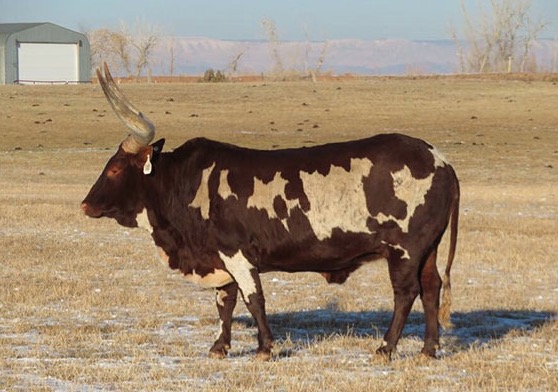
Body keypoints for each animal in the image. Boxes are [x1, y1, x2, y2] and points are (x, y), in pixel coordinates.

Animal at [82, 62, 460, 360]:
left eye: (115, 169)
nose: (85, 204)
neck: (188, 184)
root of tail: (440, 161)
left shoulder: (237, 254)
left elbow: (253, 300)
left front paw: (264, 348)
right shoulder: (220, 259)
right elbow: (225, 302)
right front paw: (220, 346)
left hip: (404, 250)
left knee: (406, 293)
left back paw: (385, 348)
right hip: (427, 250)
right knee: (431, 288)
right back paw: (428, 350)